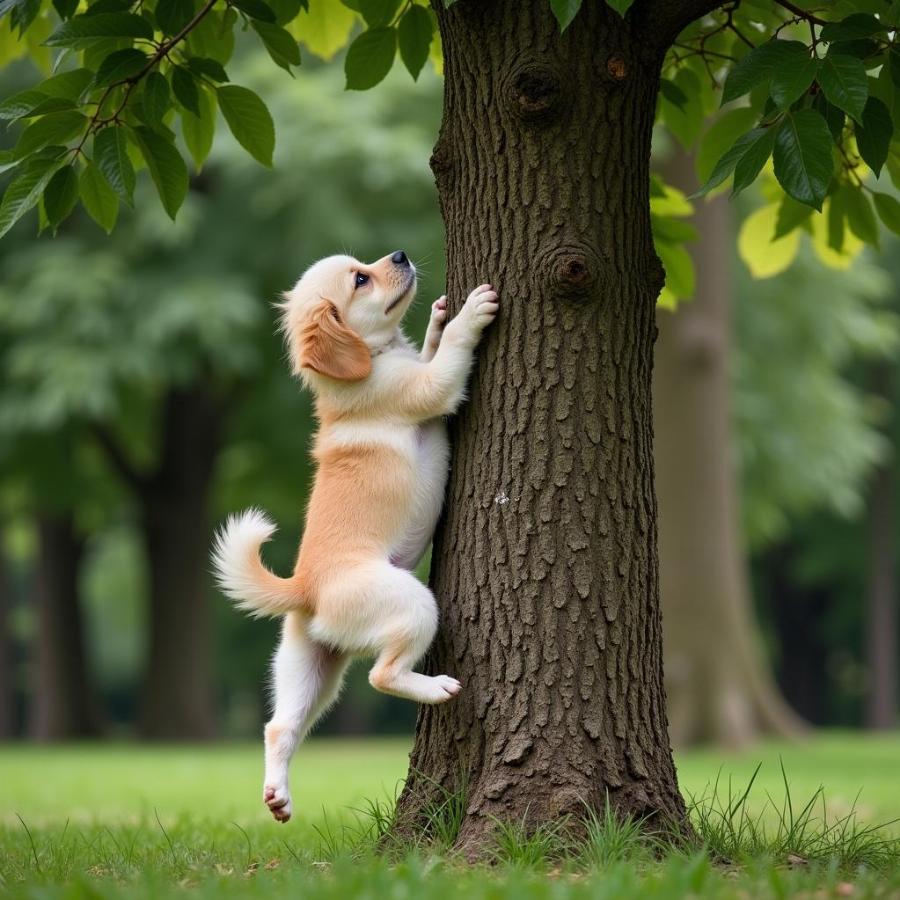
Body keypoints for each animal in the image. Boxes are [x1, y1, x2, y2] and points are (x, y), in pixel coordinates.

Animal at [212, 251, 500, 824]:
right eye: (360, 279)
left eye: (364, 265)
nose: (401, 255)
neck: (372, 358)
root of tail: (304, 586)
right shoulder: (428, 388)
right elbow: (448, 359)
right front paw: (469, 314)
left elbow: (431, 348)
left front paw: (437, 320)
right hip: (413, 604)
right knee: (381, 677)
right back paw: (435, 687)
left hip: (307, 668)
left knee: (280, 725)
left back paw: (278, 796)